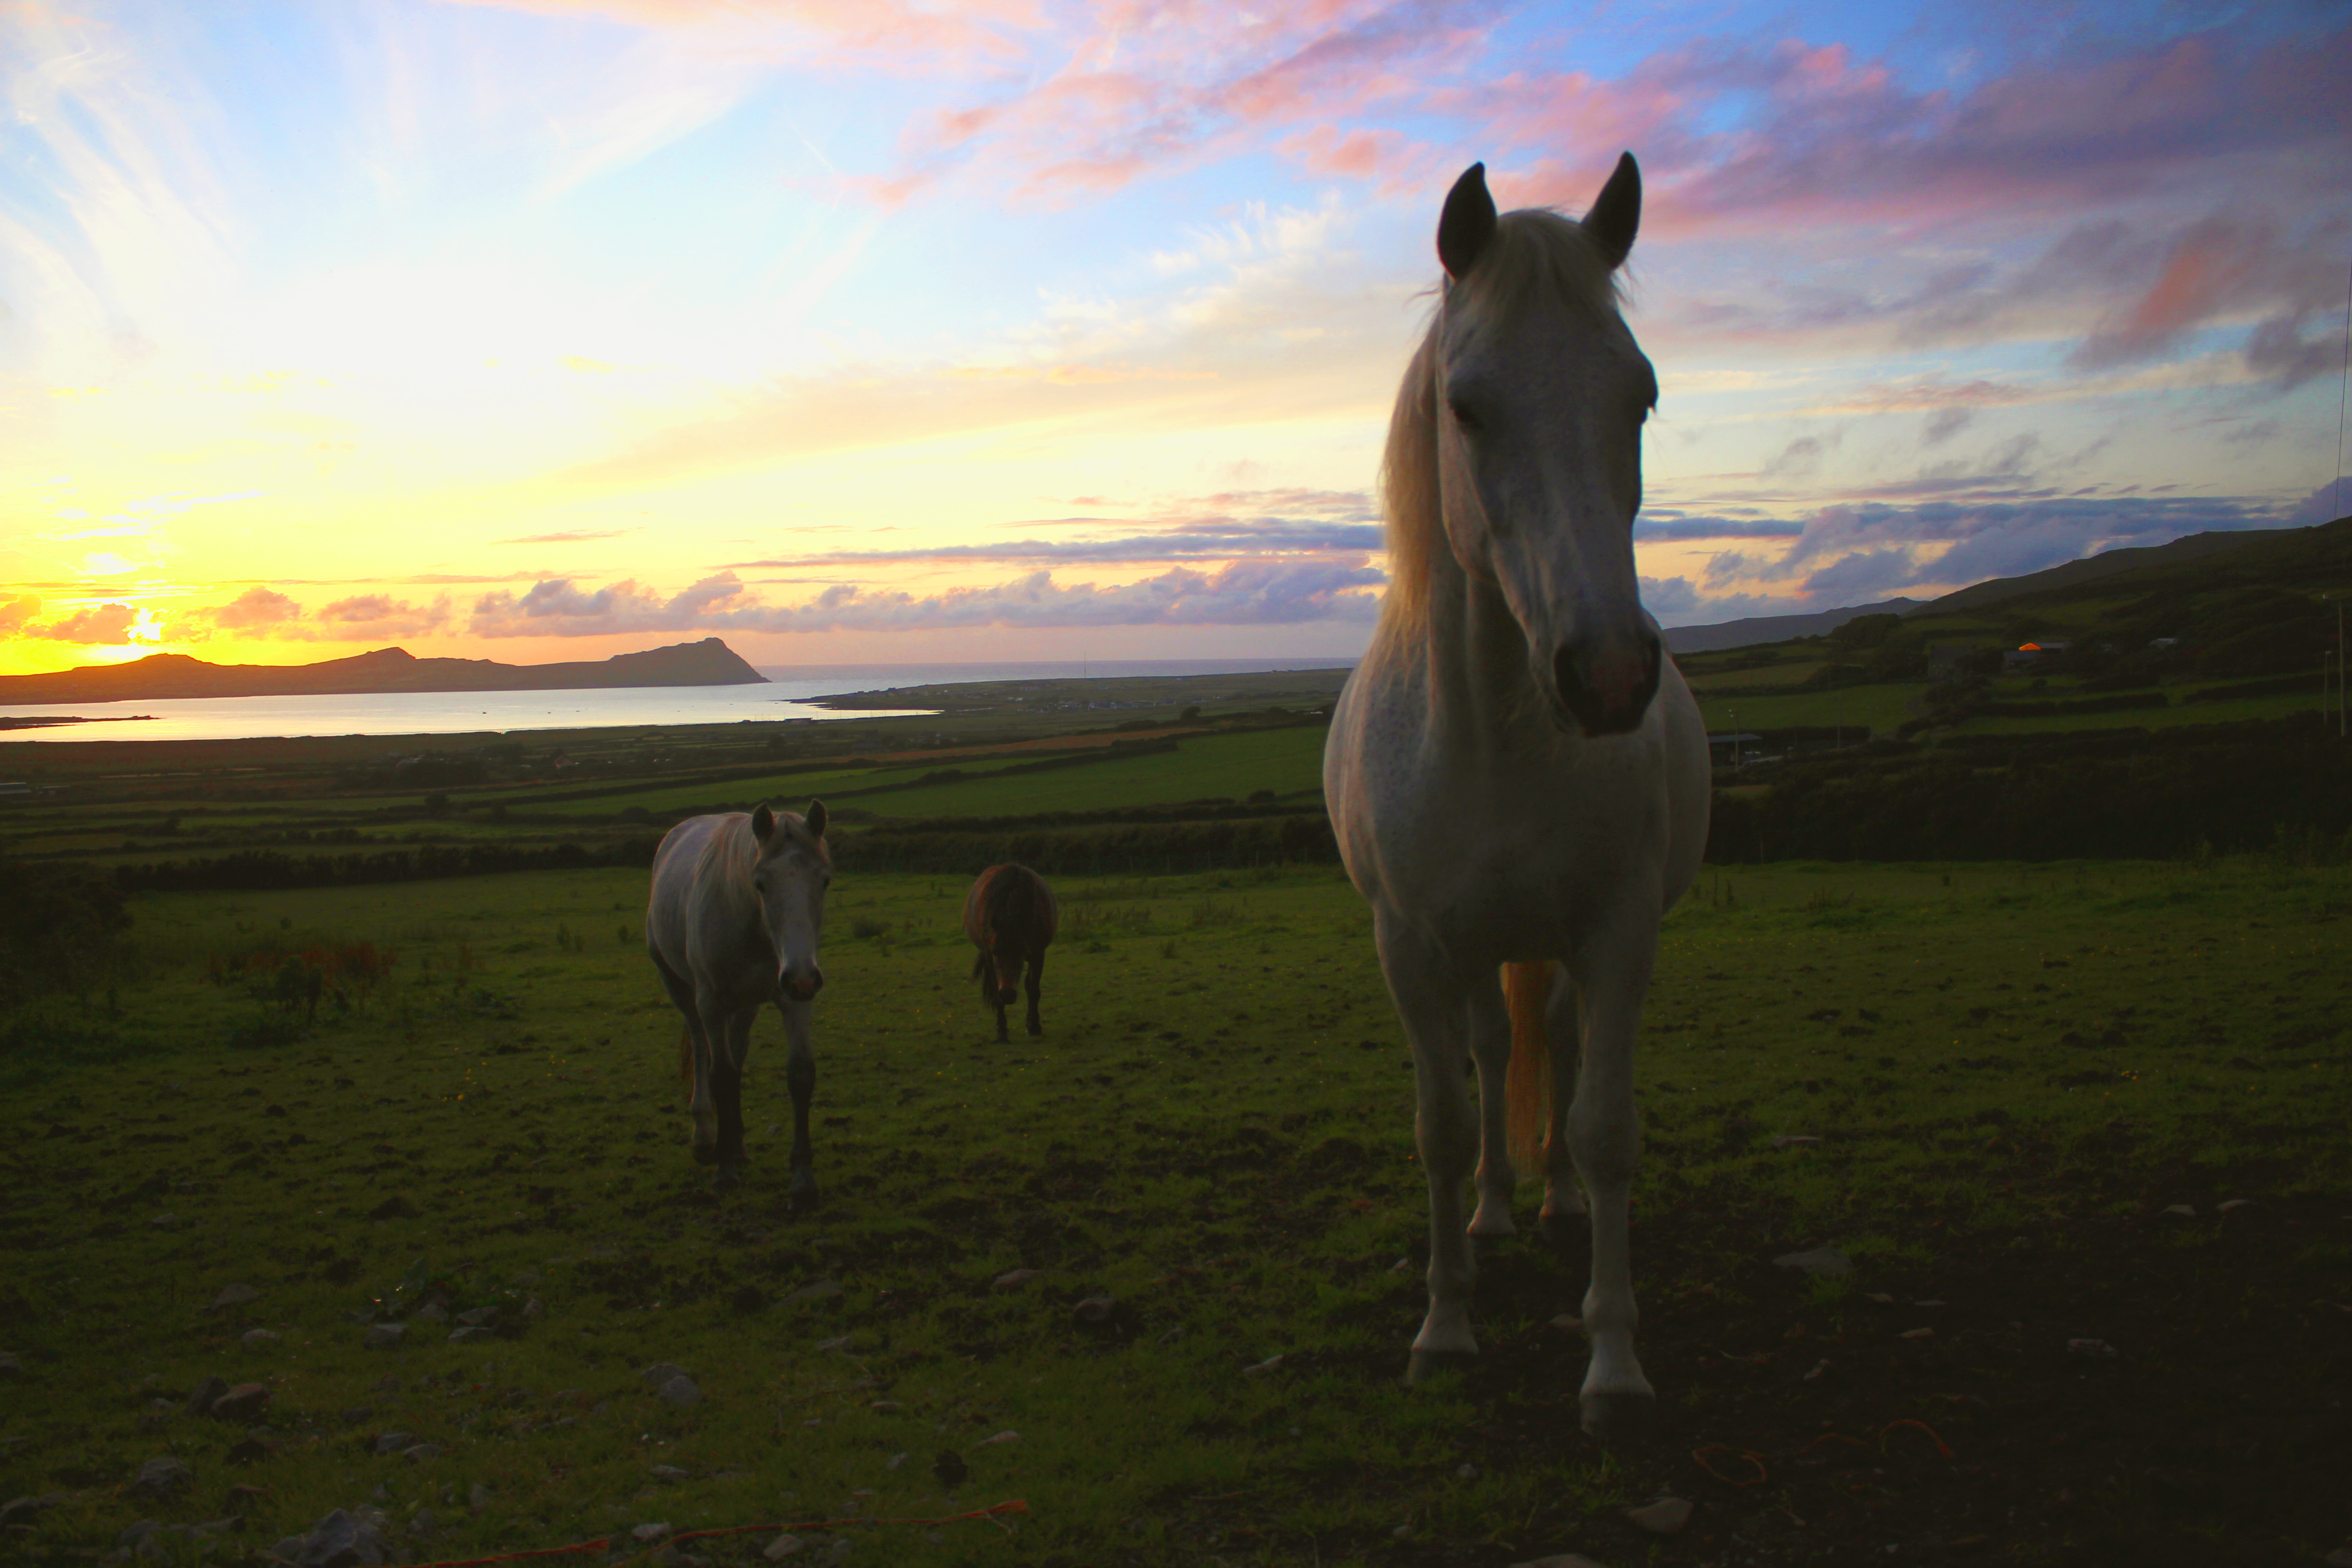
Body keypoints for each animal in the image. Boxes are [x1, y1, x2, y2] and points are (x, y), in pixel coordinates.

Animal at [645, 800, 831, 1205]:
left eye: (824, 880)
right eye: (760, 883)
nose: (801, 976)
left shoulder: (794, 999)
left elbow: (799, 1075)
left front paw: (803, 1180)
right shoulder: (712, 1003)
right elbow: (722, 1076)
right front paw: (725, 1170)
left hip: (747, 1004)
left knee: (737, 1051)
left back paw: (739, 1144)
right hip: (681, 989)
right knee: (702, 1048)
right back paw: (706, 1139)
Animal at [963, 863, 1057, 1042]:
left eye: (1022, 950)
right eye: (995, 951)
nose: (1007, 995)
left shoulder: (1038, 954)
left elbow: (1034, 991)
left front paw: (1034, 1027)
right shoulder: (989, 957)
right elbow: (995, 992)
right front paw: (1001, 1031)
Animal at [1321, 155, 1710, 1442]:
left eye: (1638, 398)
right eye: (1468, 407)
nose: (1609, 675)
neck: (1495, 733)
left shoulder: (1619, 929)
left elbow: (1604, 1126)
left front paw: (1613, 1359)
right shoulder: (1408, 944)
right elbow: (1442, 1125)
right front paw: (1444, 1327)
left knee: (1556, 1045)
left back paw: (1552, 1205)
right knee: (1497, 1057)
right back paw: (1496, 1211)